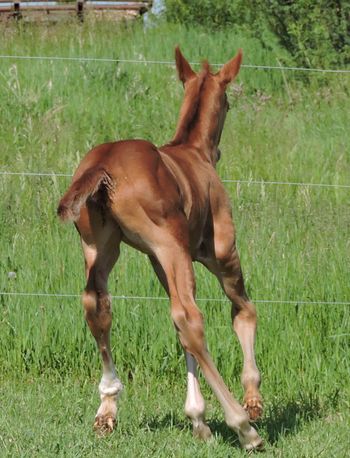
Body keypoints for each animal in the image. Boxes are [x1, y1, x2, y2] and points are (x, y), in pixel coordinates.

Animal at [57, 47, 262, 450]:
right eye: (228, 102)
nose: (219, 151)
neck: (193, 152)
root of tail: (102, 166)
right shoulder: (219, 251)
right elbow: (242, 311)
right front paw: (251, 400)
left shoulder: (157, 260)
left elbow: (178, 332)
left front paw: (198, 419)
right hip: (174, 247)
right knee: (190, 317)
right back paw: (243, 426)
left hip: (100, 247)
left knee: (97, 306)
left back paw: (107, 409)